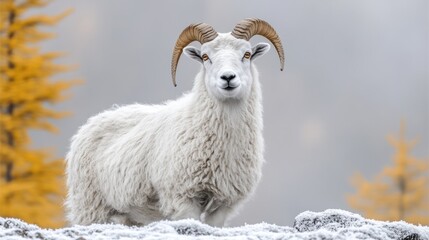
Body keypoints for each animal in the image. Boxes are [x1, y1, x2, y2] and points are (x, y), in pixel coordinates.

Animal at [64, 18, 284, 227]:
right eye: (205, 57)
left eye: (247, 54)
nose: (228, 78)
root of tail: (92, 122)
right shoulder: (182, 199)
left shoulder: (223, 204)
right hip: (90, 206)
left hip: (130, 215)